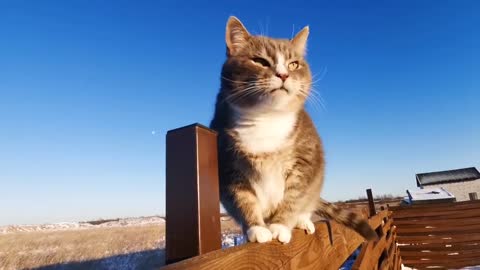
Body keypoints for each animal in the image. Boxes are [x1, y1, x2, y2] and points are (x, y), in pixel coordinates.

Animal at [210, 15, 378, 244]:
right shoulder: (228, 165)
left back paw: (303, 221)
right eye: (260, 61)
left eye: (294, 64)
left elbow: (294, 196)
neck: (266, 118)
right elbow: (243, 199)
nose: (283, 75)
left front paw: (280, 225)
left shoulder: (305, 160)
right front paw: (256, 228)